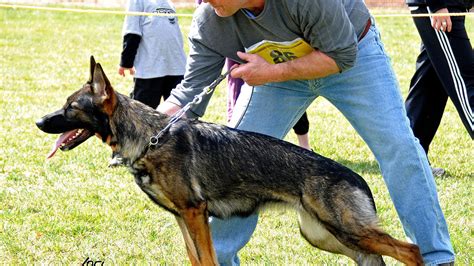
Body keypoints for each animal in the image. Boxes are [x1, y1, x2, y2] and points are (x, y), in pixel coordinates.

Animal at [36, 57, 422, 264]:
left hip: (346, 230)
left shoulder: (195, 214)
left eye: (71, 108)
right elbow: (195, 258)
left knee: (412, 250)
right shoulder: (183, 218)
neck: (150, 139)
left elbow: (206, 259)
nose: (38, 122)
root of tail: (355, 177)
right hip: (323, 236)